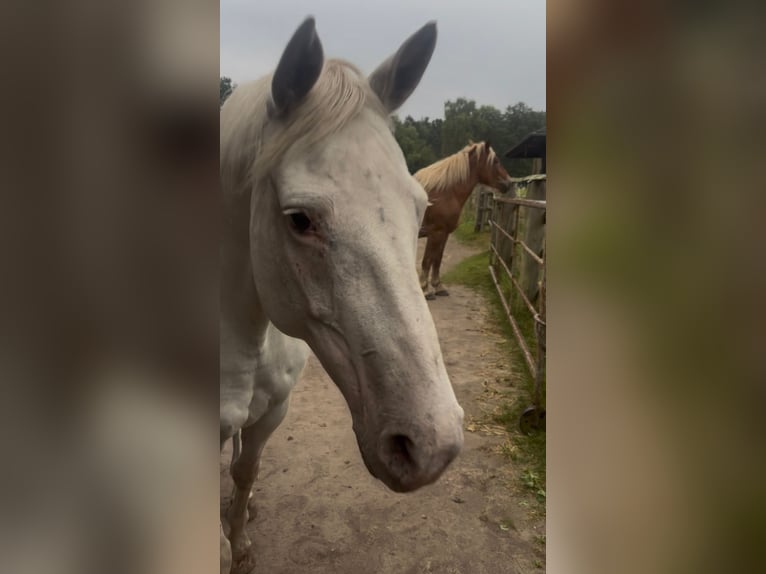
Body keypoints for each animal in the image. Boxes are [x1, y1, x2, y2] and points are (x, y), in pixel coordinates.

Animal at [219, 17, 464, 574]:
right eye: (299, 219)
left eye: (420, 207)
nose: (433, 445)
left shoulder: (274, 412)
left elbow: (245, 473)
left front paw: (242, 542)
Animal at [416, 141, 512, 299]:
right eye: (495, 161)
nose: (509, 183)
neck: (443, 194)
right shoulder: (435, 233)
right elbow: (427, 261)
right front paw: (425, 290)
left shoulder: (444, 234)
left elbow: (437, 259)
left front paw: (438, 287)